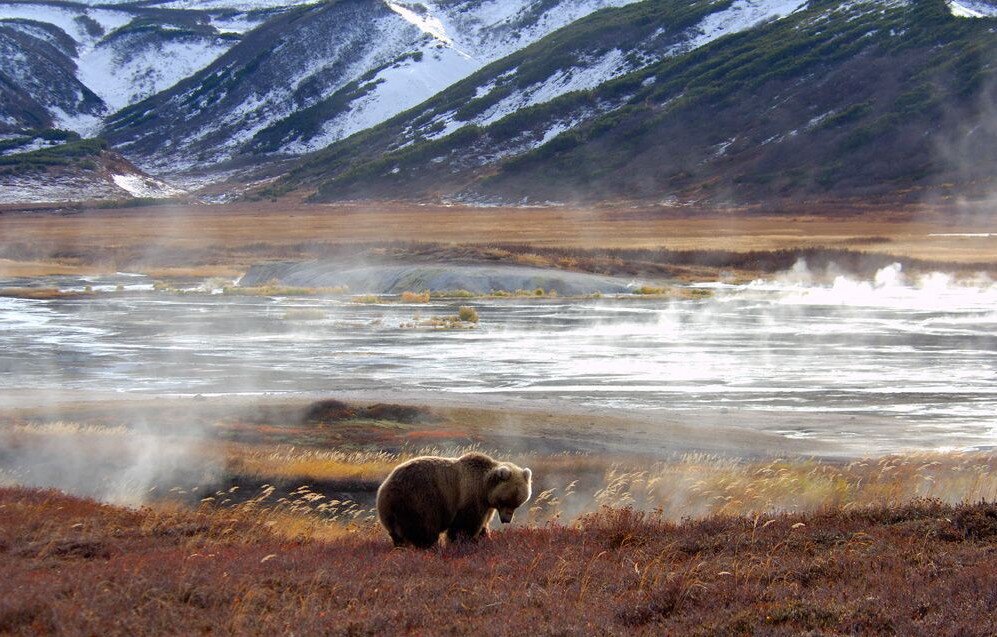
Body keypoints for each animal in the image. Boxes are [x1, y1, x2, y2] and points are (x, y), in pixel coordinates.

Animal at [374, 450, 528, 548]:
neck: (485, 488)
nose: (507, 520)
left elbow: (483, 524)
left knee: (397, 532)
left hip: (393, 511)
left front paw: (485, 538)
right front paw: (463, 542)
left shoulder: (487, 505)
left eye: (517, 503)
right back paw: (430, 546)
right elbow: (465, 525)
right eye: (506, 501)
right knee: (424, 528)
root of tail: (384, 487)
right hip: (419, 500)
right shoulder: (470, 495)